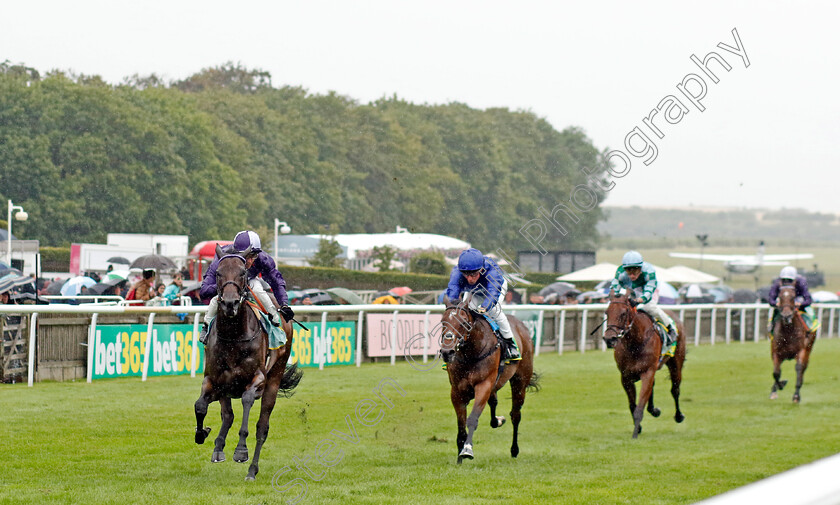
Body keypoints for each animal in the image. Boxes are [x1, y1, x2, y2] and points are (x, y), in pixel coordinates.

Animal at [194, 247, 302, 480]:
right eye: (218, 273)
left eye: (243, 272)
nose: (230, 303)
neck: (233, 337)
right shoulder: (214, 380)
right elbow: (200, 406)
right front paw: (202, 433)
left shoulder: (258, 380)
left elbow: (247, 400)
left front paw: (241, 450)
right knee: (227, 415)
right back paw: (218, 448)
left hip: (274, 379)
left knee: (262, 427)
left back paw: (252, 469)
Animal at [440, 296, 540, 464]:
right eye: (442, 322)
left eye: (464, 323)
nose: (447, 352)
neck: (471, 354)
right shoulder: (457, 392)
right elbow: (461, 426)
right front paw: (459, 458)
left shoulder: (483, 385)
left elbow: (472, 419)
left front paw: (467, 450)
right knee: (494, 403)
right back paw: (497, 421)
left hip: (520, 381)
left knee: (515, 415)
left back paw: (514, 450)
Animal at [604, 290, 688, 440]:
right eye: (606, 312)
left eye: (623, 313)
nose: (609, 339)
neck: (635, 343)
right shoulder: (625, 377)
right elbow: (633, 406)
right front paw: (639, 427)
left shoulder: (647, 372)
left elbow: (639, 407)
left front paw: (635, 434)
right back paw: (654, 410)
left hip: (676, 363)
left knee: (675, 389)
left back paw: (678, 416)